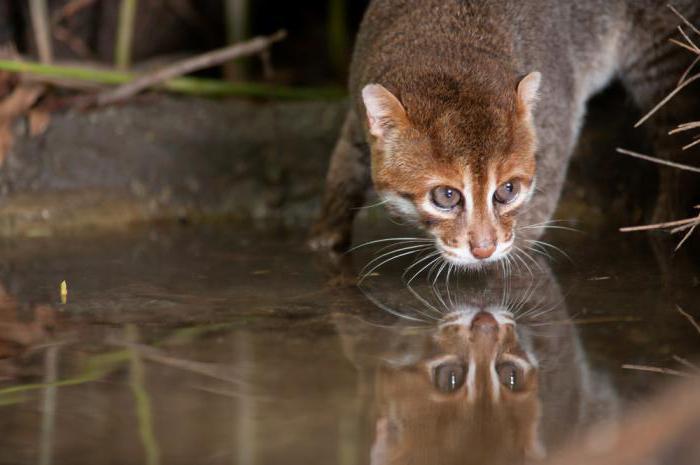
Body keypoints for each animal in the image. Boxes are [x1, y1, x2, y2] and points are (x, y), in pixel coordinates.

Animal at [310, 0, 700, 266]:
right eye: (446, 196)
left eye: (508, 190)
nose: (484, 250)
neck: (452, 48)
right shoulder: (358, 119)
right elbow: (341, 172)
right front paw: (323, 239)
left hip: (666, 55)